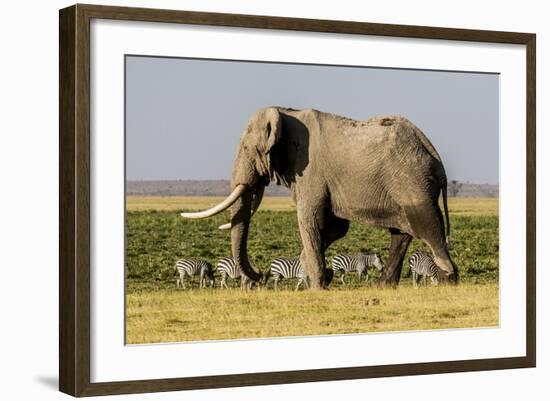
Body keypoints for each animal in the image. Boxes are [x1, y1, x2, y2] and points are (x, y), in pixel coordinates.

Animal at [182, 106, 462, 288]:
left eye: (247, 148)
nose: (261, 275)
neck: (286, 113)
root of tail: (434, 153)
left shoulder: (310, 171)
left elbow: (311, 221)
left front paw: (317, 285)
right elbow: (335, 227)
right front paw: (314, 275)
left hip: (411, 180)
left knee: (426, 225)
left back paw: (449, 280)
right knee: (401, 232)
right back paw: (384, 286)